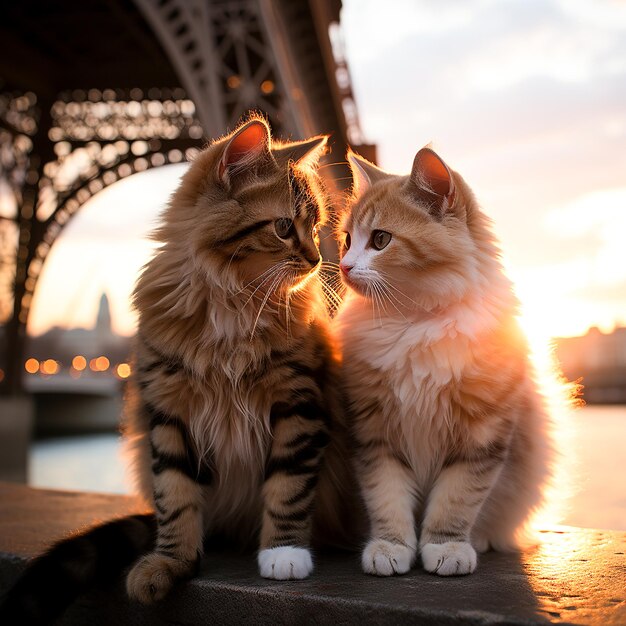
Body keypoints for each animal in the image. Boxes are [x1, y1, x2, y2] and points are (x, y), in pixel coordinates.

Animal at [0, 116, 354, 620]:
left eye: (317, 227)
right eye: (285, 227)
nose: (318, 260)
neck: (234, 299)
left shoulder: (298, 404)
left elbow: (287, 488)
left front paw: (284, 554)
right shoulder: (169, 411)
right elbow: (177, 498)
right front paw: (170, 563)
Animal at [332, 146, 552, 576]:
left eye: (380, 240)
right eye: (348, 240)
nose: (345, 266)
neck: (415, 323)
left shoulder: (481, 435)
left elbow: (456, 500)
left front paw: (446, 548)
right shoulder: (375, 432)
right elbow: (386, 498)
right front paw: (390, 547)